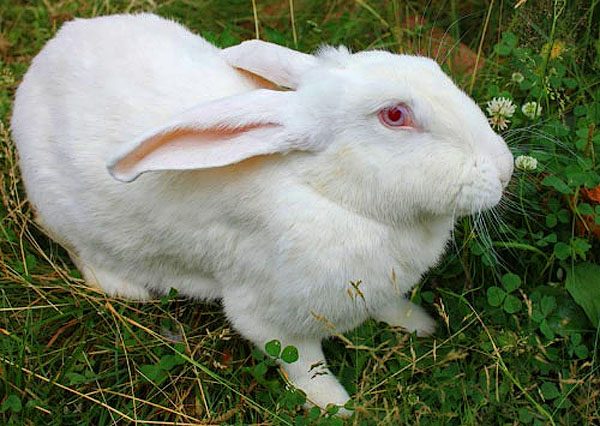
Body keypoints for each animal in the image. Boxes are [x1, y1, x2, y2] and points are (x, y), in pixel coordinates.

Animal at [11, 12, 512, 412]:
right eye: (394, 115)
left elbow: (391, 307)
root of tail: (45, 60)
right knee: (82, 252)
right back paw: (126, 289)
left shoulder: (378, 291)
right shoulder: (272, 318)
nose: (506, 168)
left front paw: (421, 325)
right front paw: (337, 408)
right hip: (67, 218)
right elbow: (306, 367)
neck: (331, 194)